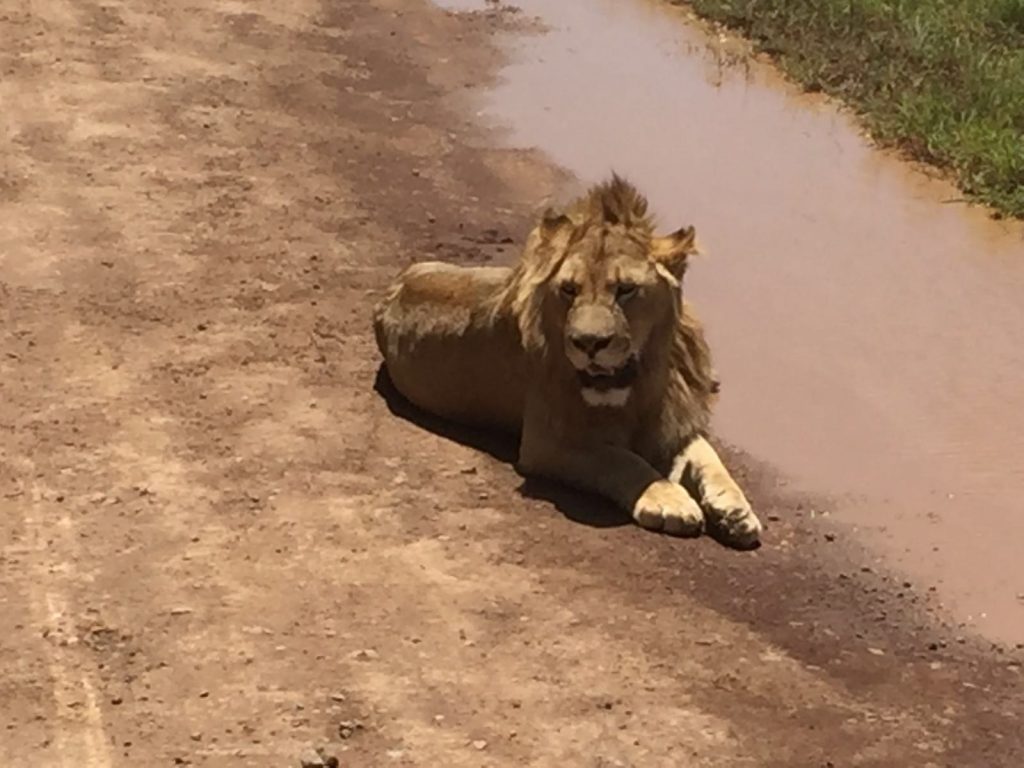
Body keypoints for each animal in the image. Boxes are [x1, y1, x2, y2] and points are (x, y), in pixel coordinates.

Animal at [373, 175, 762, 548]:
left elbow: (708, 457)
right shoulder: (546, 443)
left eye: (626, 289)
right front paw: (668, 500)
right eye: (569, 290)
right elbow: (621, 459)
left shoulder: (672, 423)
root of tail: (397, 283)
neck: (640, 383)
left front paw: (735, 510)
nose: (588, 343)